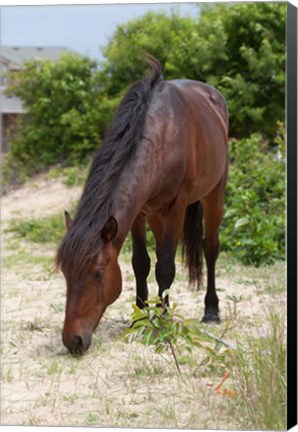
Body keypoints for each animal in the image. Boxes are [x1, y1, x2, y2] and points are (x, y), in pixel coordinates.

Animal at [56, 56, 228, 354]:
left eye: (98, 273)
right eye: (65, 273)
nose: (73, 340)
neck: (162, 135)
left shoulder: (176, 208)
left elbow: (166, 266)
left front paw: (163, 323)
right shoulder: (137, 213)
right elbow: (142, 263)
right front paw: (140, 318)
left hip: (214, 194)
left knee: (210, 249)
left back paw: (210, 310)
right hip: (156, 214)